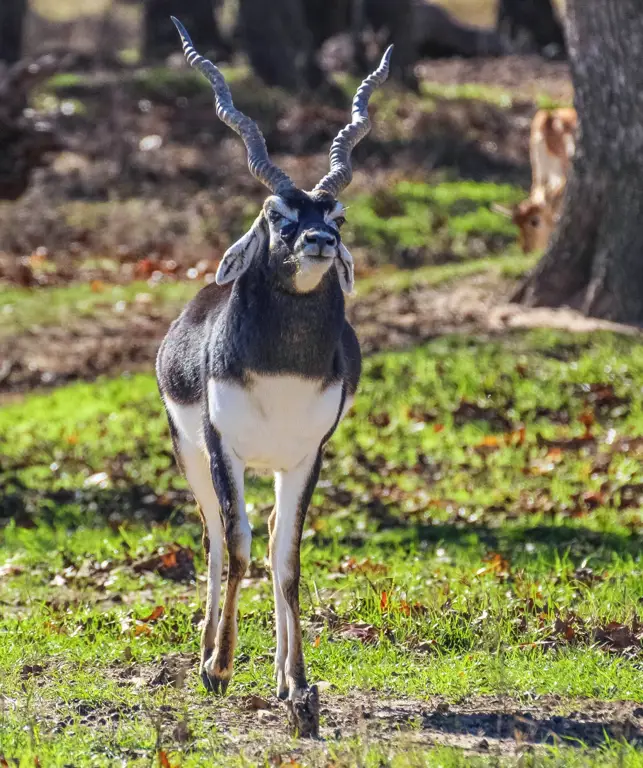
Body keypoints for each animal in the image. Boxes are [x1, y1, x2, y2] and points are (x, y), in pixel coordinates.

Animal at [156, 16, 392, 736]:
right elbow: (234, 549)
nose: (318, 242)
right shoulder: (222, 447)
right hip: (191, 455)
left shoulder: (308, 455)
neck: (281, 373)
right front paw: (219, 668)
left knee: (263, 543)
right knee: (213, 539)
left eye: (335, 215)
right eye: (275, 214)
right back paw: (206, 654)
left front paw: (297, 683)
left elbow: (285, 561)